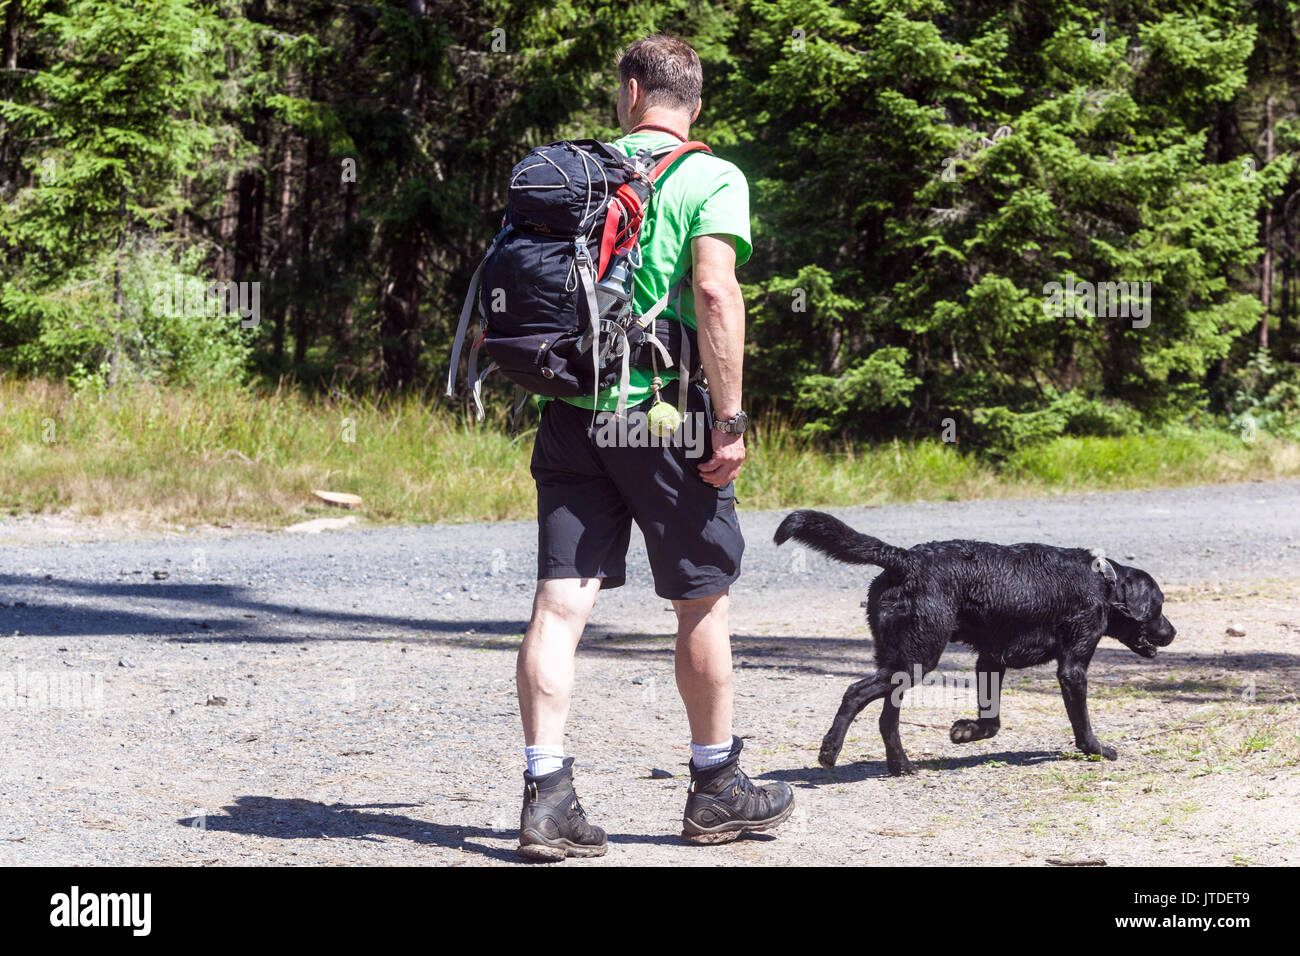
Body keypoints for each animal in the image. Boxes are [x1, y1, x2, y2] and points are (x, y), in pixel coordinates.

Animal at [769, 512, 1180, 775]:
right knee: (854, 693)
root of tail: (904, 558)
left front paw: (966, 731)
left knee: (887, 718)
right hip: (917, 658)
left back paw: (901, 765)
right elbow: (1082, 725)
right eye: (1159, 606)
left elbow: (991, 721)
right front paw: (1097, 750)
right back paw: (830, 751)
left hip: (901, 661)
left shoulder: (991, 660)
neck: (1103, 583)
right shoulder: (1073, 669)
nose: (1173, 632)